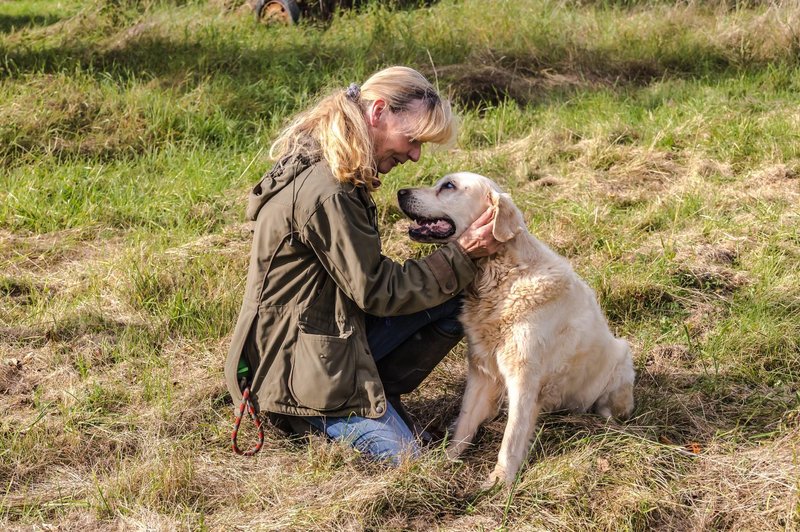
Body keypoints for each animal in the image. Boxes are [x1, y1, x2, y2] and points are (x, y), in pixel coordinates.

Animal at [396, 172, 636, 488]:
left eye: (448, 186)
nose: (400, 191)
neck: (502, 276)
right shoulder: (481, 370)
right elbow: (466, 421)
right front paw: (447, 460)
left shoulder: (524, 377)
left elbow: (511, 437)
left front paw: (500, 480)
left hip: (622, 358)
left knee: (611, 407)